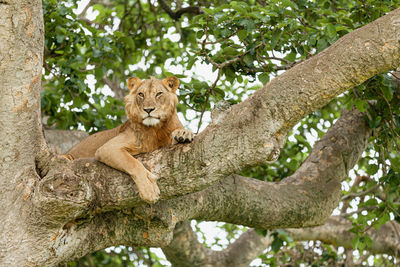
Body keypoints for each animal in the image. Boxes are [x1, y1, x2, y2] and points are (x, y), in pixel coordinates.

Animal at [65, 76, 195, 204]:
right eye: (141, 94)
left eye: (159, 93)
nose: (148, 110)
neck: (156, 129)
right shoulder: (107, 148)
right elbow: (134, 163)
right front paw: (149, 190)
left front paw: (183, 134)